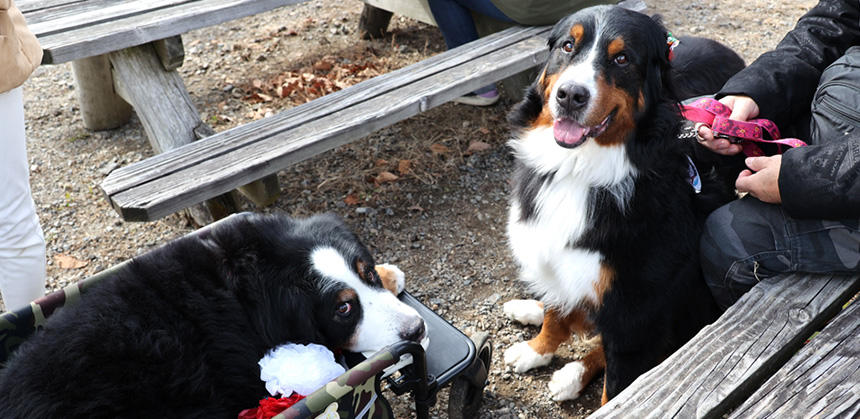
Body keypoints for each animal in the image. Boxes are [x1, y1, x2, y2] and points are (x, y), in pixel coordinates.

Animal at [504, 3, 744, 404]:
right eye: (568, 46)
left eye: (622, 59)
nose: (570, 95)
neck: (579, 171)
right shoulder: (553, 248)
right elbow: (555, 314)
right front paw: (537, 349)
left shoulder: (636, 311)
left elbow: (616, 388)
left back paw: (571, 374)